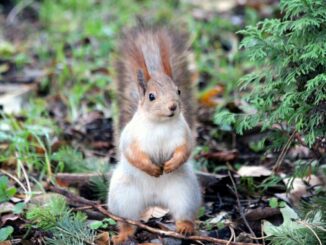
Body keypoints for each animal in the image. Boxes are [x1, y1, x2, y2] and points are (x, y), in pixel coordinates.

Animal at [109, 25, 201, 244]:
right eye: (151, 96)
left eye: (178, 91)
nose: (173, 106)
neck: (160, 124)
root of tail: (154, 200)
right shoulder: (131, 138)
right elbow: (133, 154)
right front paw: (152, 169)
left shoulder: (184, 135)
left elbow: (185, 150)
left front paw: (171, 165)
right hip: (122, 197)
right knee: (127, 221)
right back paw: (123, 234)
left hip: (185, 194)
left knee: (184, 214)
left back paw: (185, 228)